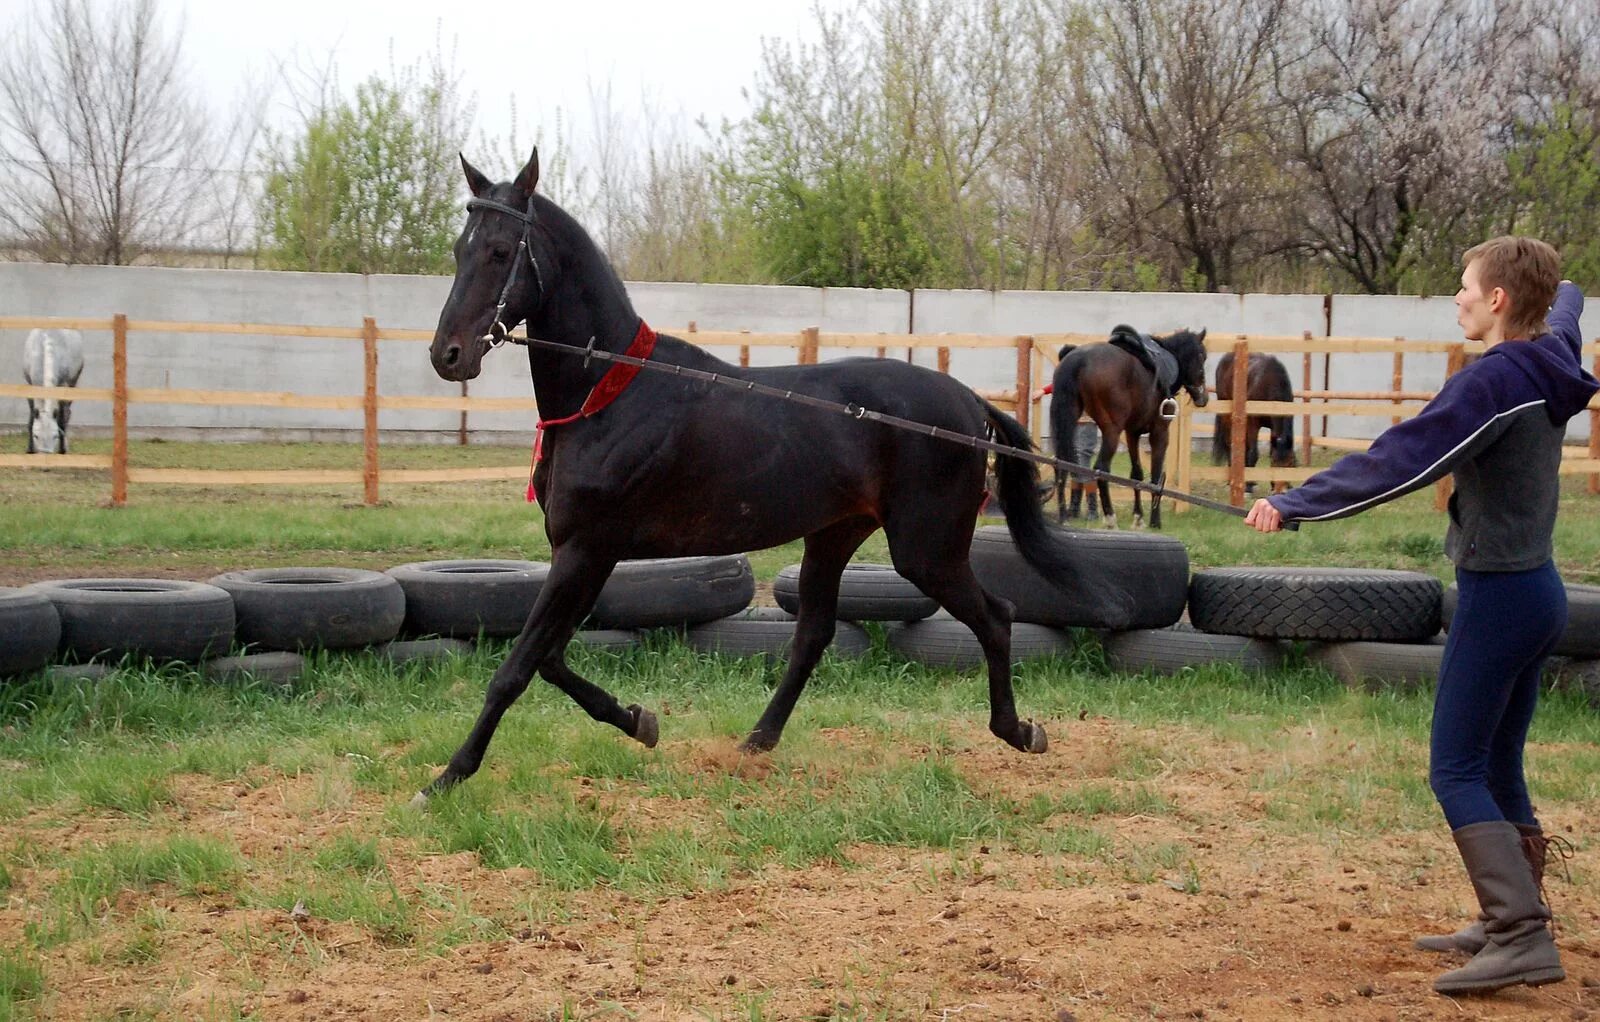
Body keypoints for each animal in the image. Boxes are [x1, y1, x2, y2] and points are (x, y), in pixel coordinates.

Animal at [419, 147, 1132, 799]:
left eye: (501, 251)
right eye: (460, 249)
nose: (446, 355)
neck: (609, 393)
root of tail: (967, 404)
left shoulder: (585, 550)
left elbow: (518, 667)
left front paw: (449, 776)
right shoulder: (589, 555)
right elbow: (551, 659)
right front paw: (638, 720)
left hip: (926, 550)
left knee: (997, 615)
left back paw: (1019, 731)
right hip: (835, 536)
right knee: (814, 635)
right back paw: (757, 741)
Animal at [1043, 329, 1203, 537]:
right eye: (1202, 356)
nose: (1202, 397)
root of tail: (1078, 360)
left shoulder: (1132, 433)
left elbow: (1136, 474)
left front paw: (1138, 518)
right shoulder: (1159, 432)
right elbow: (1155, 476)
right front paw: (1154, 521)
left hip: (1068, 421)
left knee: (1061, 464)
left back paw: (1064, 516)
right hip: (1112, 430)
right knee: (1101, 468)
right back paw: (1110, 518)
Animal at [1209, 351, 1299, 495]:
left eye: (1291, 463)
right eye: (1274, 462)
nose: (1280, 491)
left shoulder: (1273, 428)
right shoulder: (1253, 423)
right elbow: (1253, 453)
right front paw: (1248, 488)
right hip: (1227, 416)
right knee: (1229, 443)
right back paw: (1231, 482)